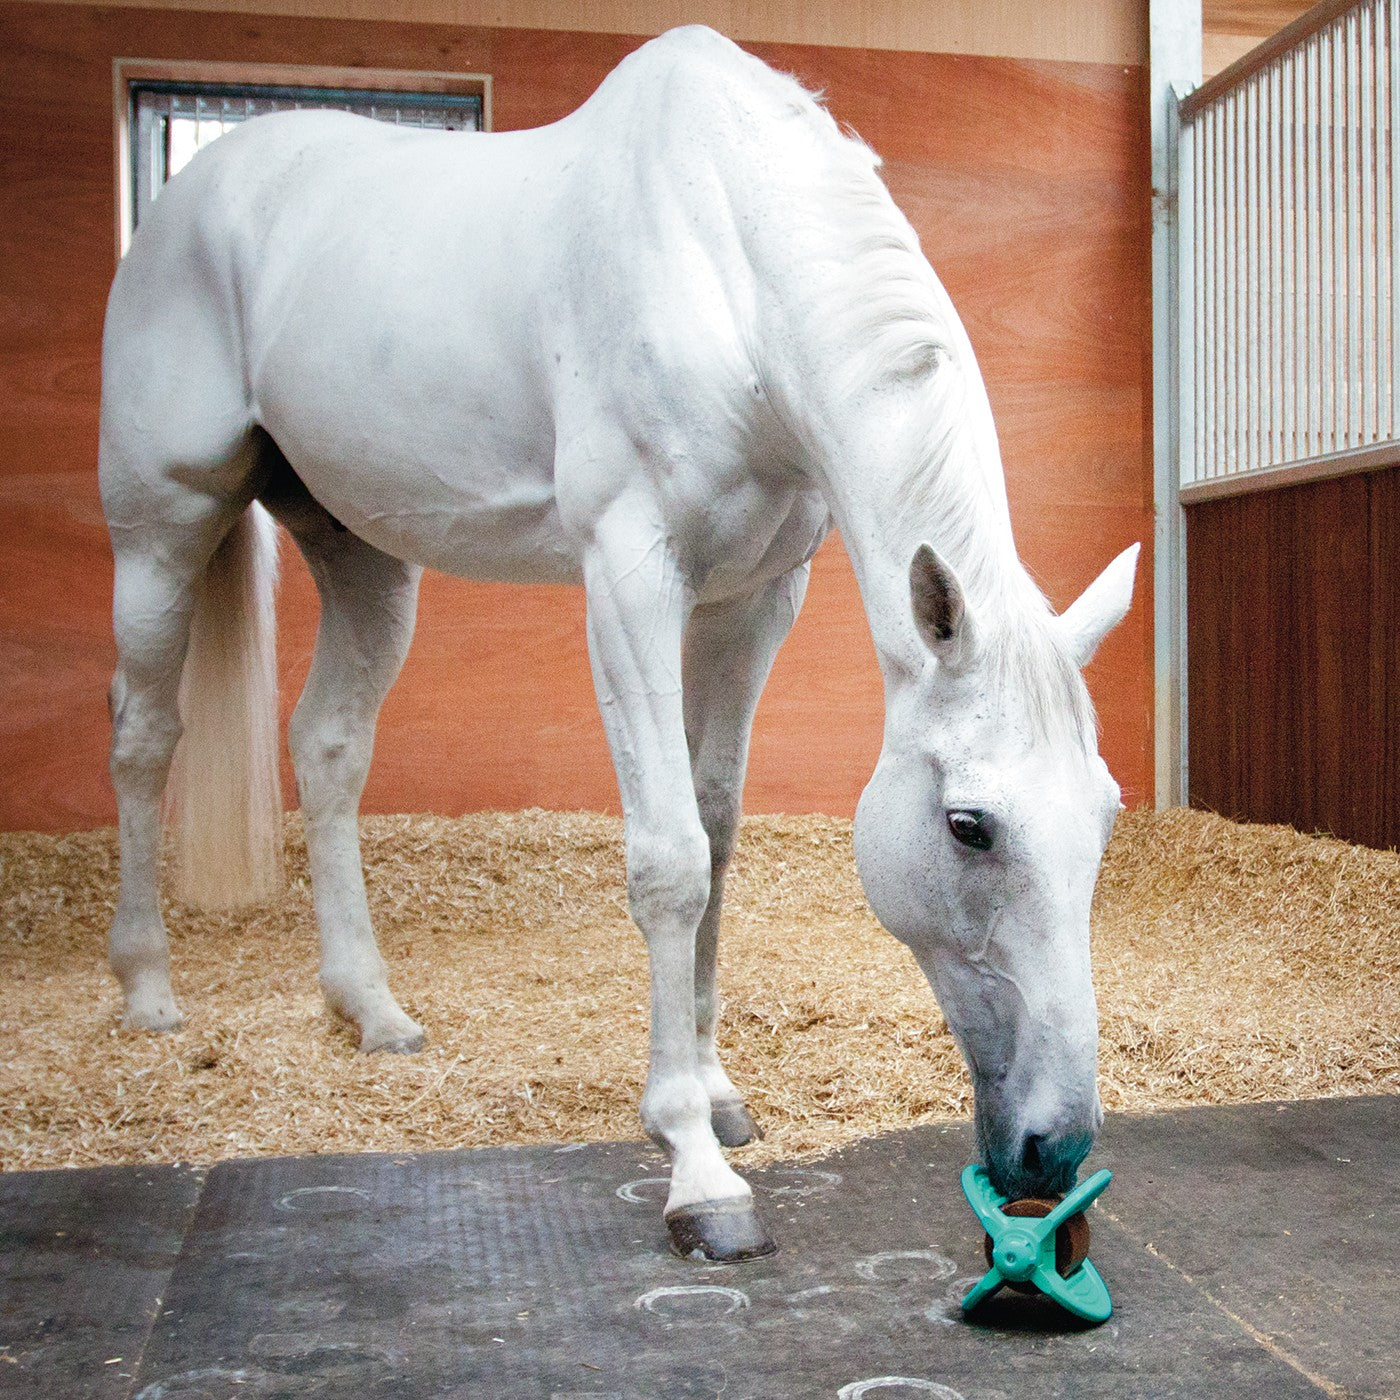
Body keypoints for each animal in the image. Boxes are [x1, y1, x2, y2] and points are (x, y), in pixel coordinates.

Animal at [100, 25, 1139, 1263]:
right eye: (966, 825)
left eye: (1103, 815)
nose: (1052, 1147)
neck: (722, 258)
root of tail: (195, 196)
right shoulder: (630, 577)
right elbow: (668, 857)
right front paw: (695, 1167)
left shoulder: (751, 599)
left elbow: (716, 827)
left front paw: (715, 1090)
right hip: (162, 529)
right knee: (144, 736)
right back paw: (148, 991)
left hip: (361, 555)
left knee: (328, 745)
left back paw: (370, 1008)